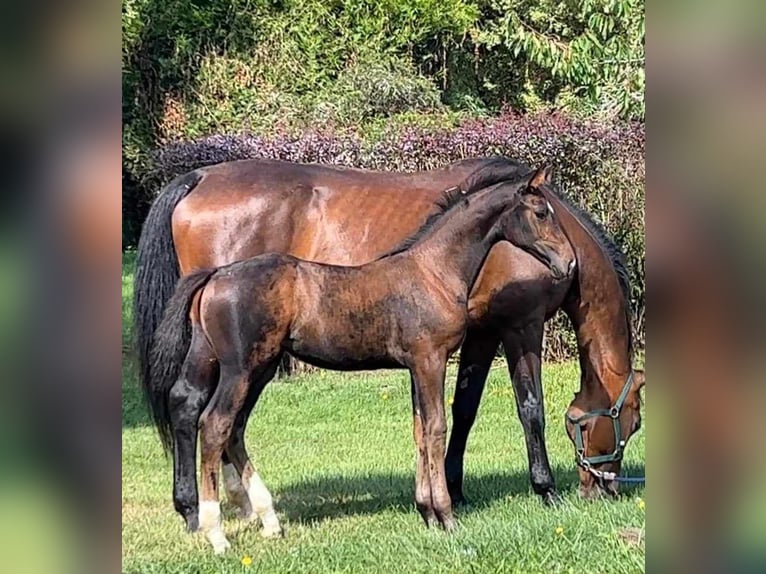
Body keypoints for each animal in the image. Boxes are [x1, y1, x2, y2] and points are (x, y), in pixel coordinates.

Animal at [135, 159, 644, 520]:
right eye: (633, 422)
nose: (606, 487)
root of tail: (198, 177)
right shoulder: (520, 326)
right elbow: (528, 408)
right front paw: (544, 489)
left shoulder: (477, 335)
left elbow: (461, 410)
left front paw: (452, 489)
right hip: (240, 359)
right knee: (200, 410)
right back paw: (199, 510)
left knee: (201, 409)